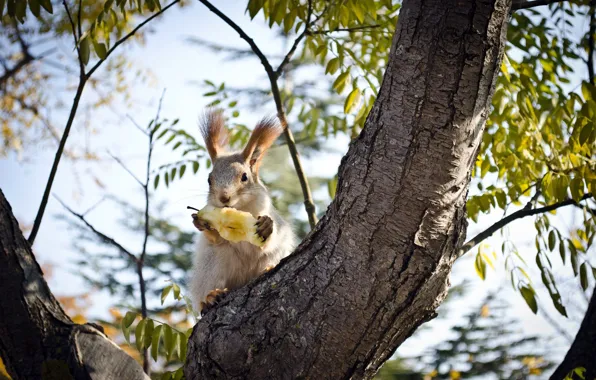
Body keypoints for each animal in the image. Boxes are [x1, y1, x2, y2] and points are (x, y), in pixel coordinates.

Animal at [189, 109, 296, 312]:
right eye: (209, 179)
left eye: (244, 177)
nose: (224, 198)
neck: (241, 208)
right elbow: (217, 239)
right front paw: (199, 222)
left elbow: (267, 240)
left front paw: (266, 226)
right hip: (213, 264)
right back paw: (211, 297)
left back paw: (267, 268)